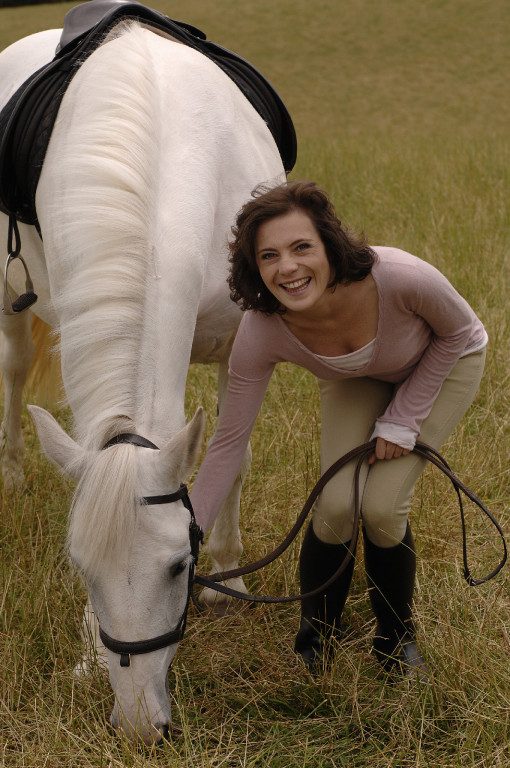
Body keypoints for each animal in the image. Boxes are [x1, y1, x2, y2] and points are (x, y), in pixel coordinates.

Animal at [0, 10, 286, 744]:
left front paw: (230, 583)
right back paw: (11, 471)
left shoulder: (244, 341)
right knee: (12, 371)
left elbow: (233, 459)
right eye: (81, 570)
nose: (137, 725)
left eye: (180, 564)